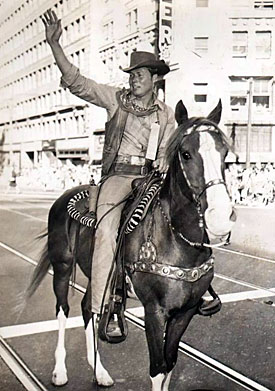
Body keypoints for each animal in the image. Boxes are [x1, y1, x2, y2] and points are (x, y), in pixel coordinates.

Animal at [24, 99, 235, 390]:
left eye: (224, 153)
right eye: (186, 154)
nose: (221, 218)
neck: (175, 238)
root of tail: (66, 194)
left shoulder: (185, 312)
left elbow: (170, 363)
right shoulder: (154, 312)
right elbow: (158, 368)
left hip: (97, 274)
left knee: (88, 308)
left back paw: (99, 372)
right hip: (63, 267)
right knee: (63, 309)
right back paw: (60, 371)